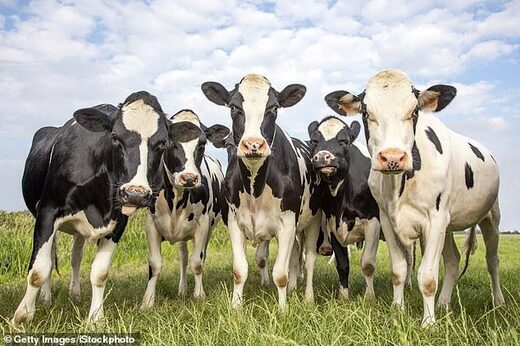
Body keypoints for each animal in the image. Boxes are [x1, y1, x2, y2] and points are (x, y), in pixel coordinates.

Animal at [13, 91, 170, 324]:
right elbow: (38, 270)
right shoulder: (47, 211)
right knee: (50, 257)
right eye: (115, 137)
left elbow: (100, 273)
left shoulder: (117, 221)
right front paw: (22, 316)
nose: (136, 193)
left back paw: (75, 294)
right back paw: (46, 298)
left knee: (75, 257)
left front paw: (95, 318)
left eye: (162, 143)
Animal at [140, 109, 228, 306]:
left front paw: (199, 295)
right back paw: (182, 289)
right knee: (183, 258)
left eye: (202, 143)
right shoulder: (151, 224)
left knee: (199, 255)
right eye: (167, 142)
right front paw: (147, 301)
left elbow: (197, 261)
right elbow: (155, 263)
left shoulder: (203, 225)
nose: (188, 178)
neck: (176, 202)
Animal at [201, 73, 322, 308]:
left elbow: (281, 274)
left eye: (273, 108)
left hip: (314, 219)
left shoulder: (288, 223)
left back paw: (308, 296)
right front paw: (236, 307)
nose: (253, 144)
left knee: (309, 259)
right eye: (233, 107)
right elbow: (240, 270)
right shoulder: (234, 222)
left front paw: (283, 309)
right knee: (295, 254)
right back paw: (294, 287)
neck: (254, 187)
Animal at [306, 115, 380, 298]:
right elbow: (342, 264)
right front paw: (343, 296)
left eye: (344, 141)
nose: (322, 156)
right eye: (314, 141)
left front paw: (369, 297)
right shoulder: (333, 224)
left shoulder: (373, 222)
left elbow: (368, 263)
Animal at [324, 69, 504, 326]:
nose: (392, 157)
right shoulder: (387, 220)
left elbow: (427, 277)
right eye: (366, 112)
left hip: (491, 218)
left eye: (415, 111)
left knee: (492, 260)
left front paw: (428, 323)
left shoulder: (435, 220)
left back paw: (497, 301)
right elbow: (398, 269)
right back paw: (444, 303)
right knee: (453, 261)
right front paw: (397, 309)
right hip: (449, 226)